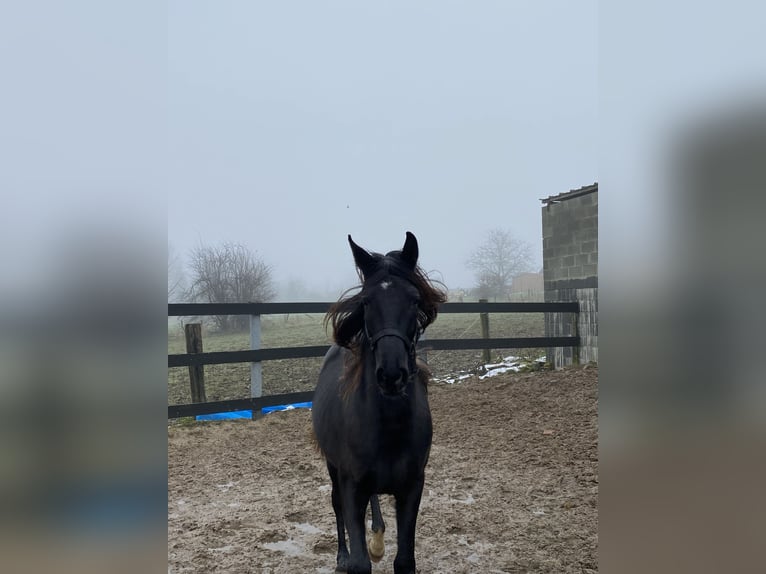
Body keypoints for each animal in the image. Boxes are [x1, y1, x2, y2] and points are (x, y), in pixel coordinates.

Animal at [312, 233, 448, 574]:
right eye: (366, 302)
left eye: (414, 300)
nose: (391, 374)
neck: (390, 425)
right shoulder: (351, 487)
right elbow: (360, 562)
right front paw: (355, 555)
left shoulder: (412, 488)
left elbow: (405, 560)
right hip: (333, 468)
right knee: (335, 506)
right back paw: (343, 555)